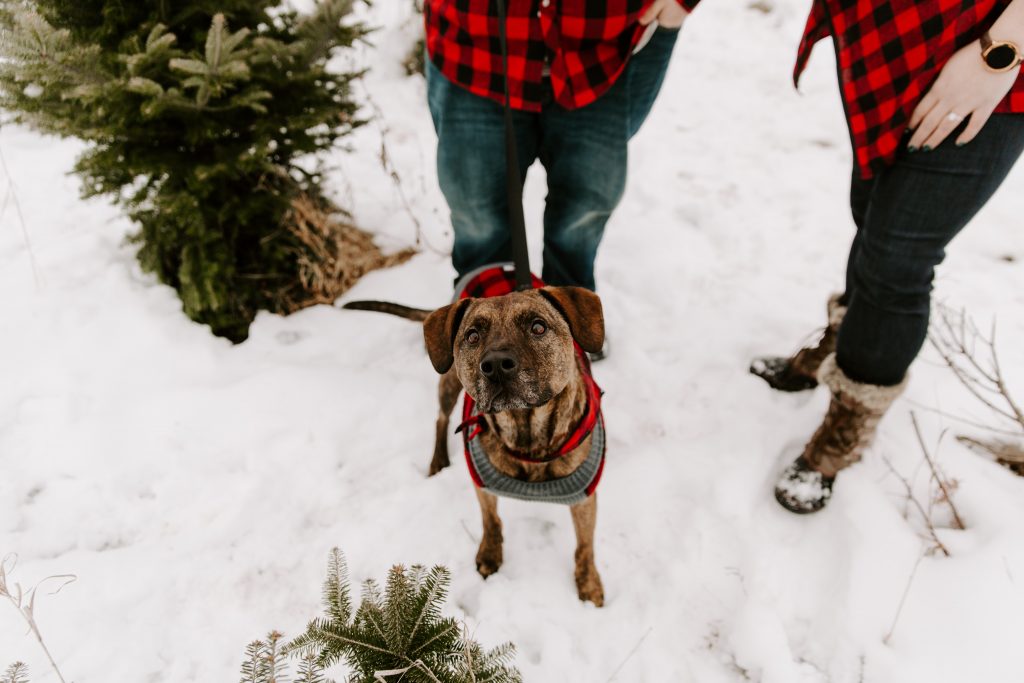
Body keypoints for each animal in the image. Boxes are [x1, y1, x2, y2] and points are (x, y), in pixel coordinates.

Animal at [348, 286, 602, 606]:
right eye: (472, 336)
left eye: (538, 327)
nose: (496, 365)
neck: (527, 434)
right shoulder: (482, 480)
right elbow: (490, 520)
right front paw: (491, 555)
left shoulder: (584, 497)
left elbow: (585, 545)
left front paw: (588, 583)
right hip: (447, 380)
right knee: (441, 418)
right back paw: (438, 460)